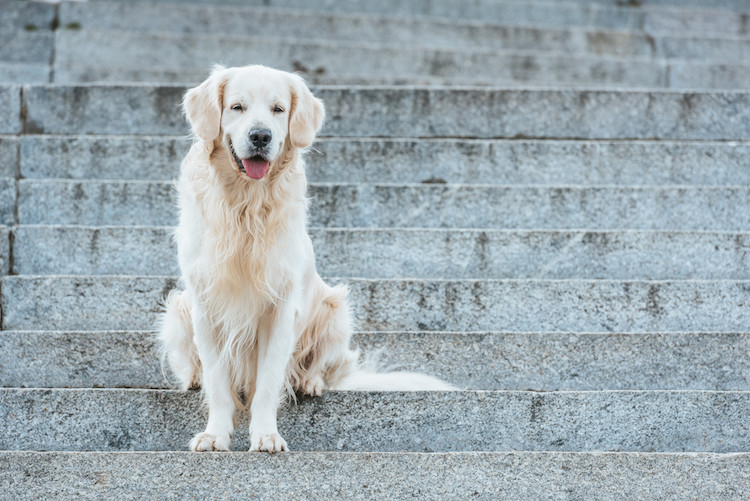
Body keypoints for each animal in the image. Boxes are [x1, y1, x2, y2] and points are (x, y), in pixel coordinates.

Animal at [159, 64, 452, 452]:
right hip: (179, 309)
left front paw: (266, 435)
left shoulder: (280, 310)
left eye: (278, 109)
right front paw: (215, 434)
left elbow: (268, 382)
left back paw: (311, 382)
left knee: (322, 366)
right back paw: (194, 377)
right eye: (237, 107)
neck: (246, 205)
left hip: (335, 310)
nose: (260, 136)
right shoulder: (206, 305)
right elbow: (219, 383)